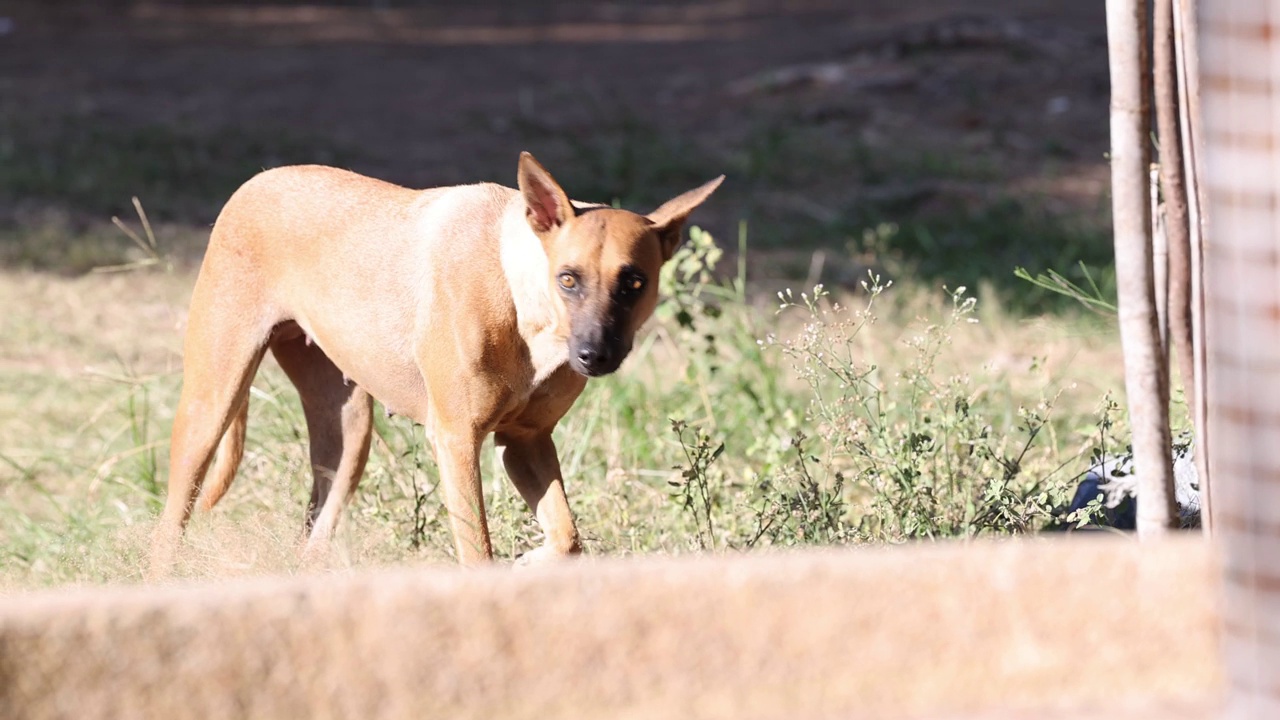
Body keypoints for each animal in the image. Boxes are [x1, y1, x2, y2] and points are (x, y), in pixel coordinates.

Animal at [147, 152, 721, 571]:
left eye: (635, 283)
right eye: (569, 279)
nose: (593, 355)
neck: (520, 293)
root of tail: (255, 182)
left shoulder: (525, 442)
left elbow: (567, 538)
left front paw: (531, 561)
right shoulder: (457, 440)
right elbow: (479, 554)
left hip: (347, 437)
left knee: (314, 532)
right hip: (211, 406)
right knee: (168, 528)